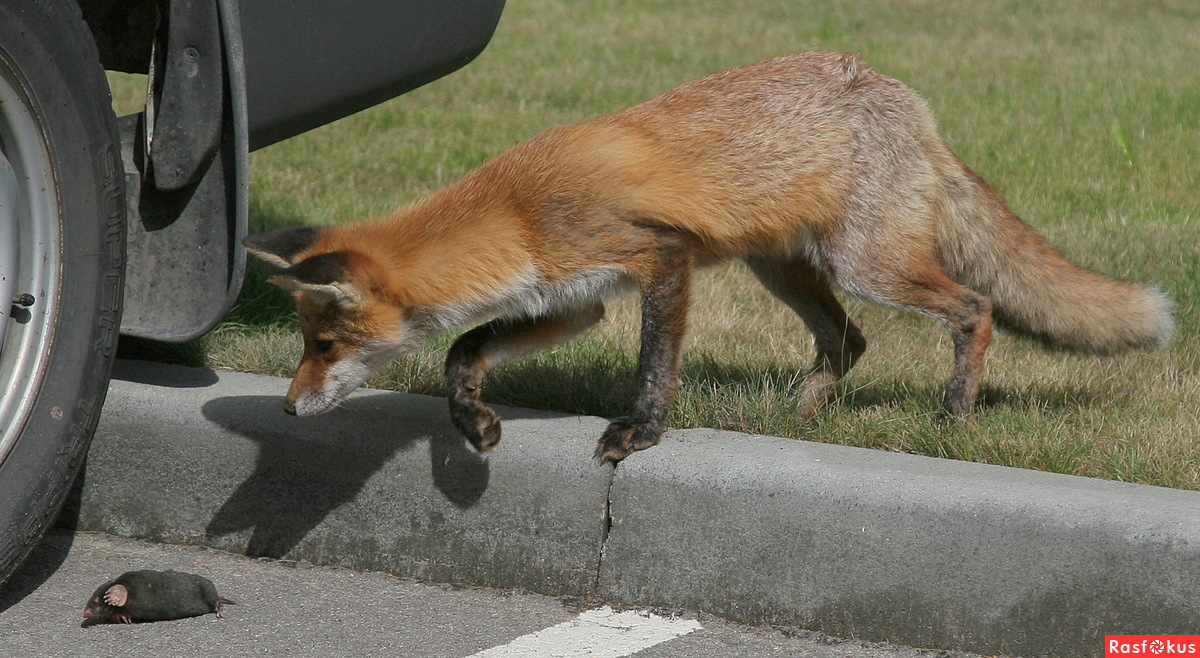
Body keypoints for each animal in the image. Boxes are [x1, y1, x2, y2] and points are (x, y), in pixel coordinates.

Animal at [243, 51, 1171, 463]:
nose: (285, 408)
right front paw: (472, 422)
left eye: (322, 346)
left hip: (867, 266)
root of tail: (909, 101)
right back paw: (802, 418)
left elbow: (656, 365)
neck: (518, 212)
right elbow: (464, 351)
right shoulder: (574, 299)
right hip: (786, 270)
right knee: (850, 341)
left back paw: (955, 413)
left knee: (975, 309)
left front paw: (640, 433)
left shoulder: (660, 259)